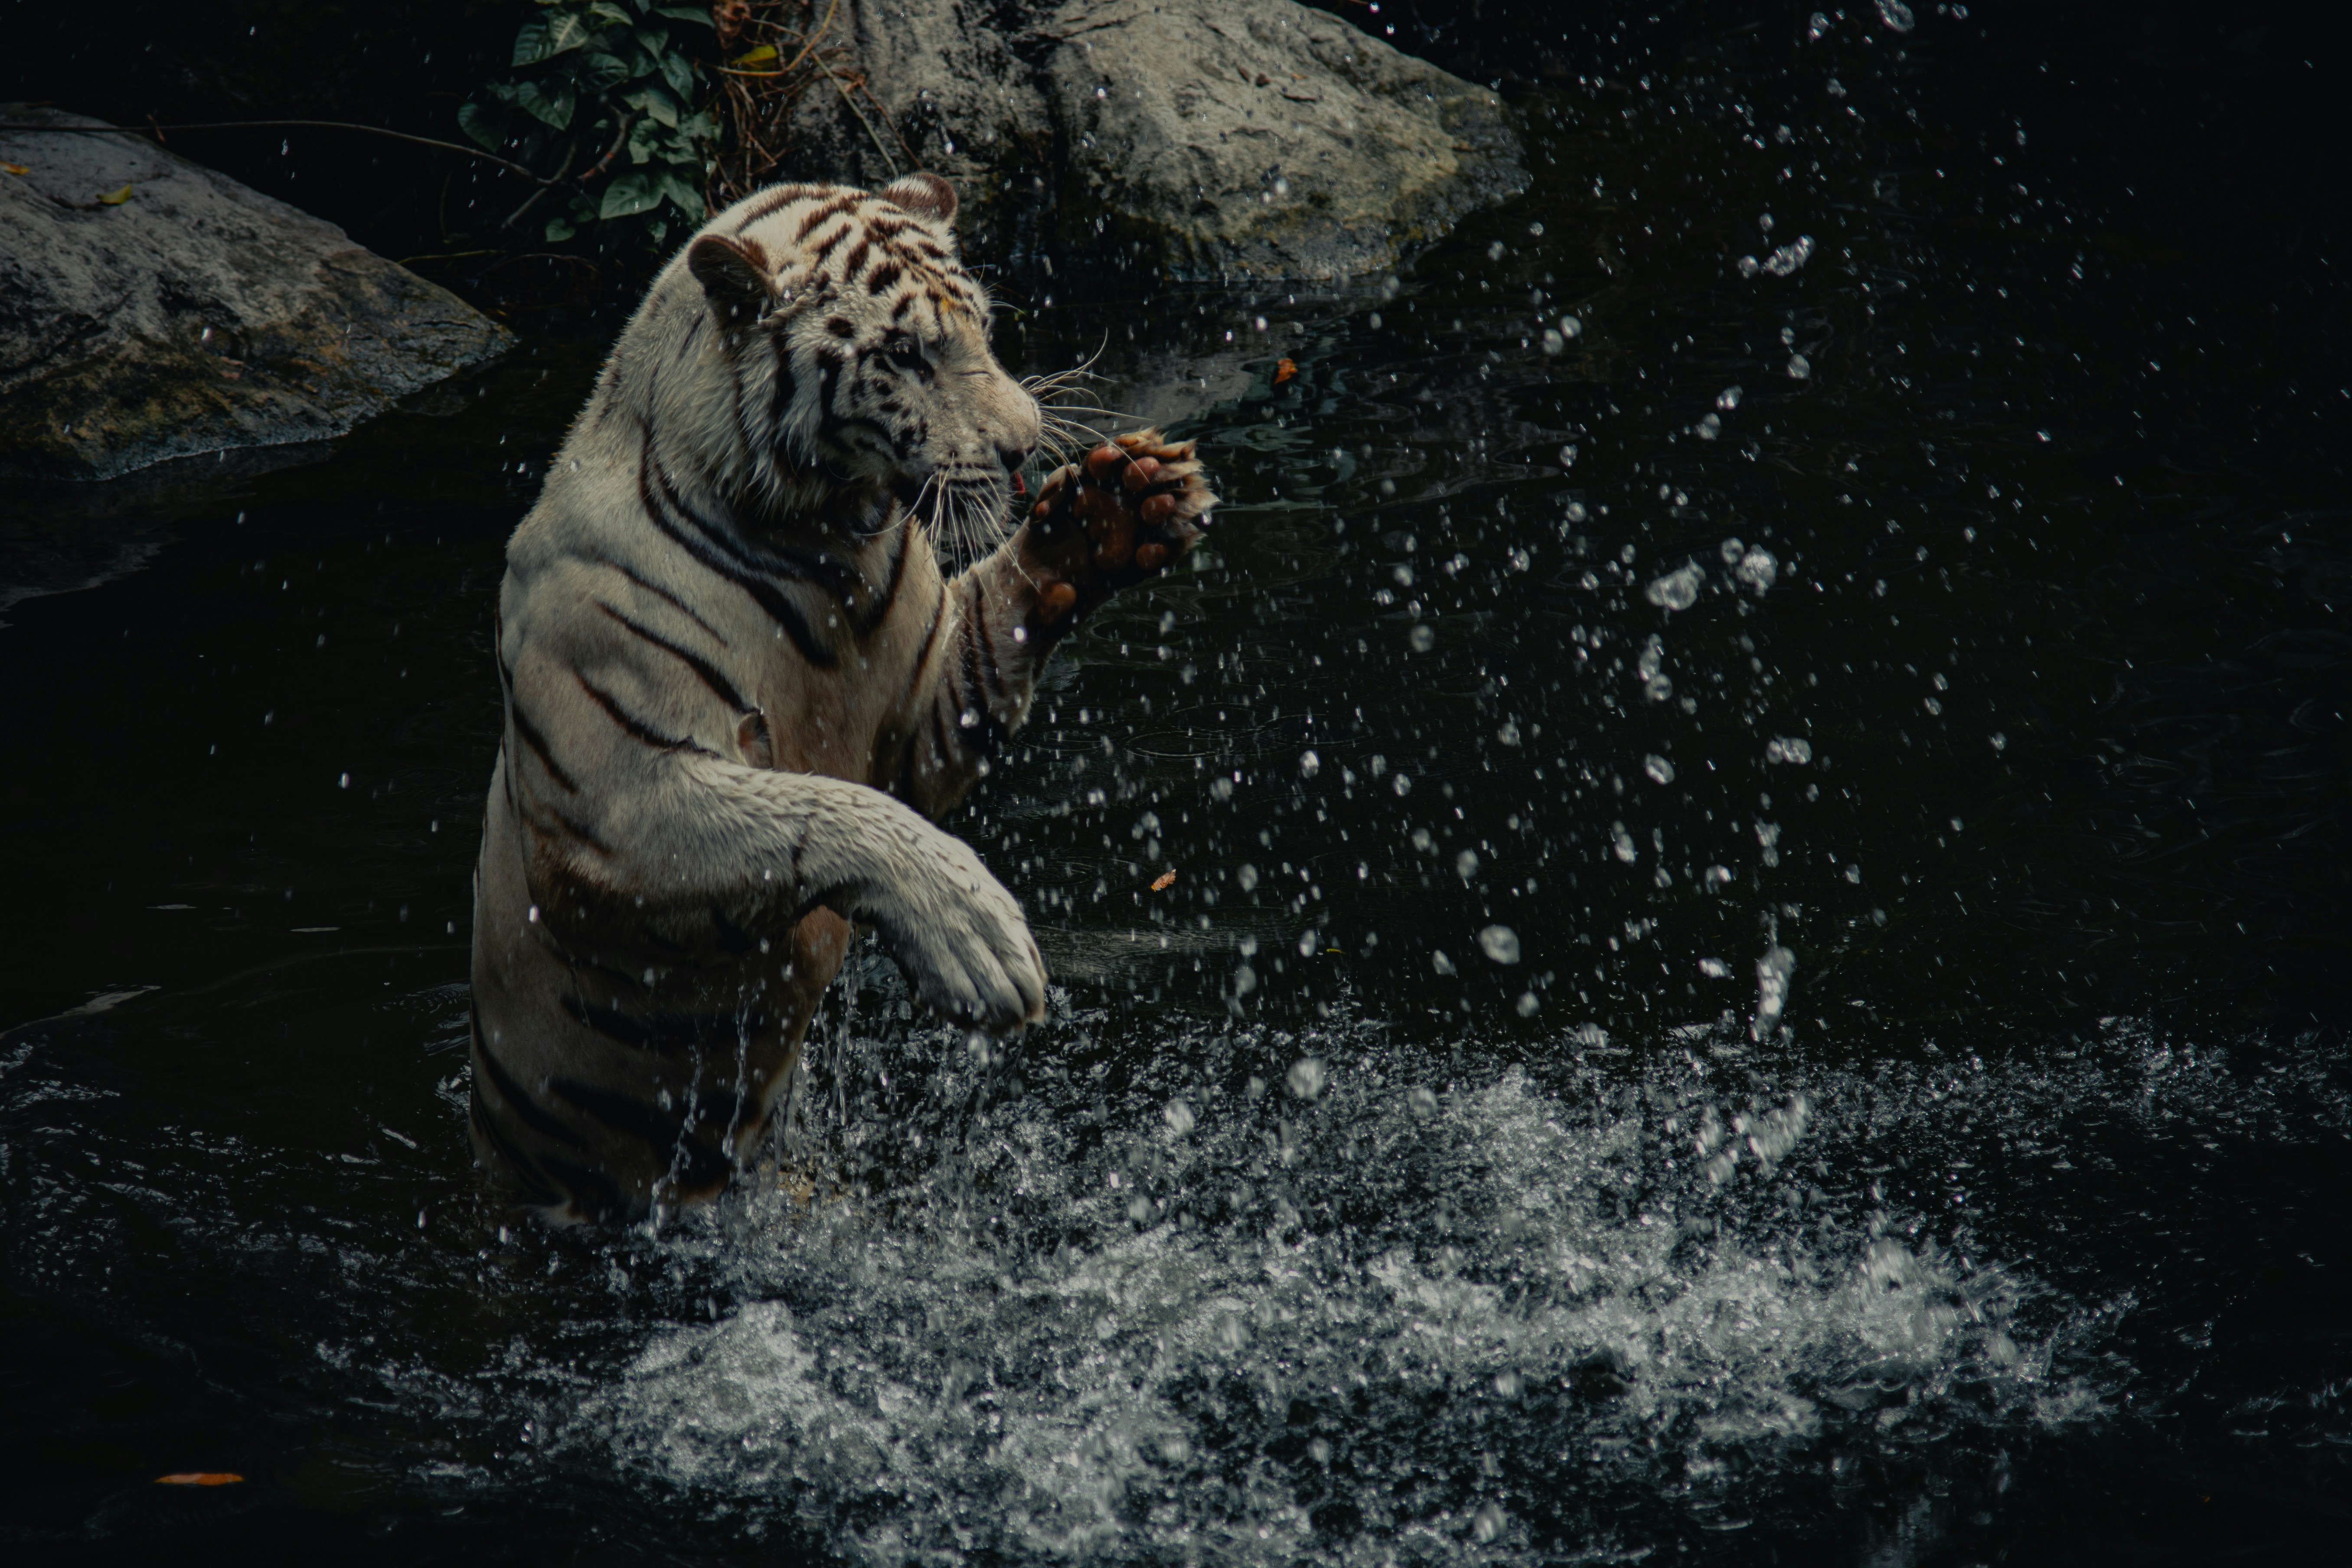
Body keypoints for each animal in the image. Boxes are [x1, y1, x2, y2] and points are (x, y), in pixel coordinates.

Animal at [467, 170, 1216, 1223]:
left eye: (983, 325)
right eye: (904, 354)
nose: (1026, 448)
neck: (823, 545)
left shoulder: (926, 710)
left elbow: (991, 632)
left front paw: (1117, 508)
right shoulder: (620, 801)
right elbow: (820, 809)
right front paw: (978, 940)